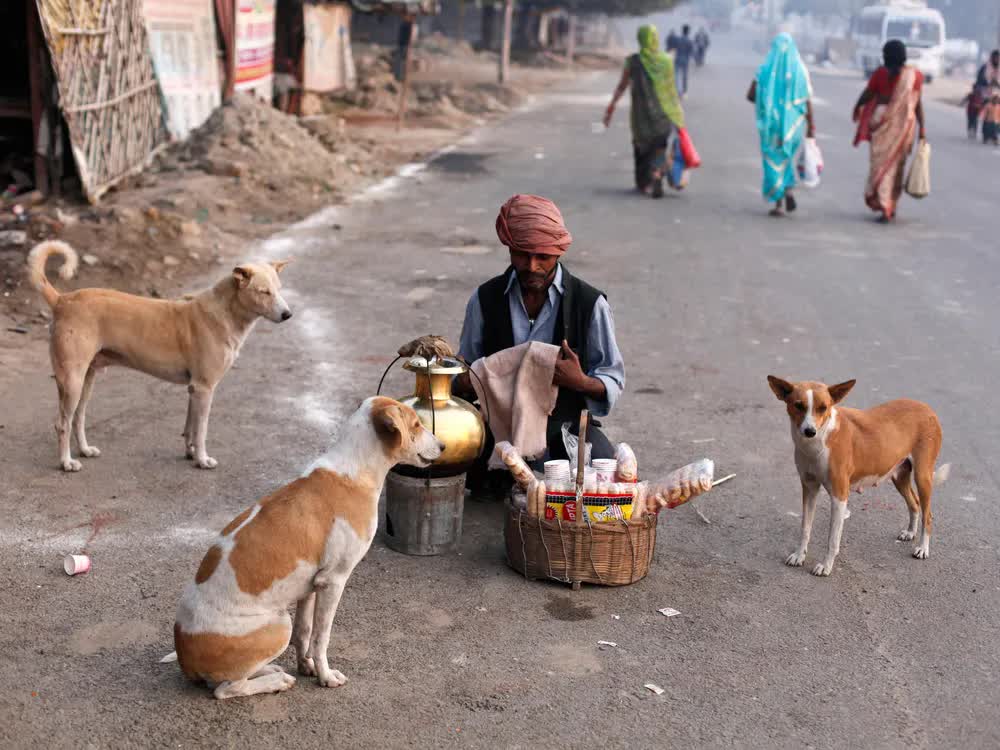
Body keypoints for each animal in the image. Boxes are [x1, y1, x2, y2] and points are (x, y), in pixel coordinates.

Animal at [26, 241, 292, 472]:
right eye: (264, 292)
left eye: (279, 290)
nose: (288, 315)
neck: (225, 312)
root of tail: (62, 300)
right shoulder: (204, 388)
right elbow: (202, 430)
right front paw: (202, 459)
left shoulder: (194, 389)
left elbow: (190, 427)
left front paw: (190, 453)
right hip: (72, 380)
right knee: (62, 423)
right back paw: (66, 463)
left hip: (87, 378)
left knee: (78, 418)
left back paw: (84, 450)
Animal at [163, 402, 442, 704]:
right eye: (416, 425)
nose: (444, 446)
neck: (354, 472)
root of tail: (184, 657)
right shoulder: (334, 581)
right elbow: (321, 637)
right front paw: (326, 676)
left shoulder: (310, 586)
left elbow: (305, 631)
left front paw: (306, 666)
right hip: (278, 624)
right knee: (226, 688)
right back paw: (276, 680)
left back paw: (271, 669)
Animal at [764, 378, 944, 580]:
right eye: (798, 405)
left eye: (823, 408)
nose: (809, 431)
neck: (819, 442)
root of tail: (926, 407)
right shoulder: (809, 488)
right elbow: (805, 528)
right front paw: (799, 555)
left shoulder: (839, 496)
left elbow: (832, 539)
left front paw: (826, 566)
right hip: (900, 476)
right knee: (914, 504)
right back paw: (910, 532)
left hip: (922, 476)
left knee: (928, 515)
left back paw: (922, 548)